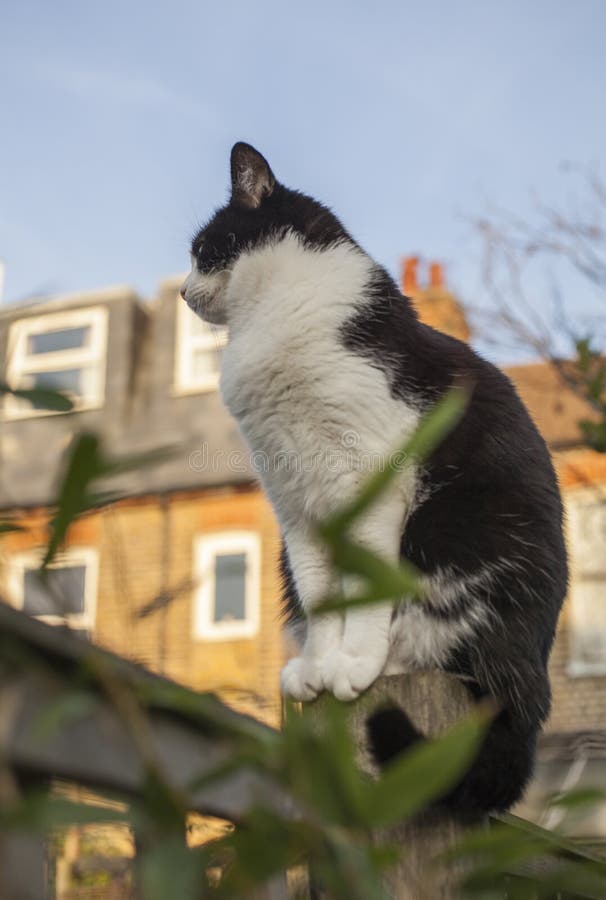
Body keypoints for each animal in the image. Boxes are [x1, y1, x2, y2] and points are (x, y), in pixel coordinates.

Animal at [182, 142, 568, 816]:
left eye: (203, 248)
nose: (180, 291)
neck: (275, 322)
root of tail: (531, 692)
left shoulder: (370, 482)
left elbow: (366, 589)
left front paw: (352, 662)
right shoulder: (294, 504)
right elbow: (321, 595)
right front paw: (320, 663)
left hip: (452, 536)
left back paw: (385, 666)